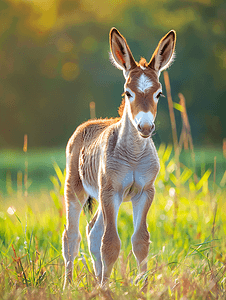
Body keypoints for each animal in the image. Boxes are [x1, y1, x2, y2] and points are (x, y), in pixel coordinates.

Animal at [62, 27, 177, 288]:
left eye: (159, 94)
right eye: (128, 92)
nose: (145, 127)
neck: (133, 155)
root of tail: (87, 124)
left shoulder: (145, 192)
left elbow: (140, 241)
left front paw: (142, 287)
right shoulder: (110, 191)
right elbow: (111, 243)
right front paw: (106, 289)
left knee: (92, 230)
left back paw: (97, 280)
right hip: (75, 189)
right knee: (71, 236)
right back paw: (68, 285)